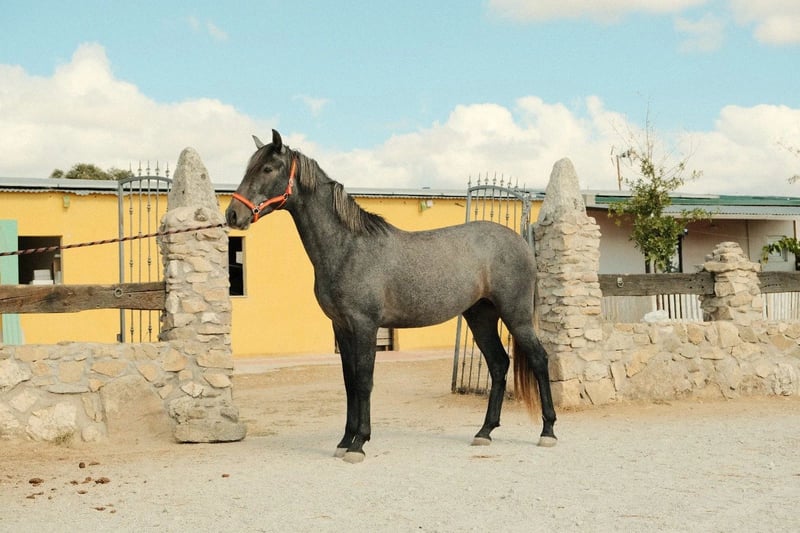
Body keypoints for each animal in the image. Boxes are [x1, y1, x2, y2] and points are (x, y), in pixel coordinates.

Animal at [225, 130, 557, 463]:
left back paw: (548, 432)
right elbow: (349, 383)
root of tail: (519, 242)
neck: (348, 247)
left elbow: (364, 381)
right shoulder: (341, 327)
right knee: (499, 364)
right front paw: (344, 440)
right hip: (480, 315)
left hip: (515, 315)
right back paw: (484, 432)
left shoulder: (364, 325)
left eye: (267, 169)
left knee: (539, 360)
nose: (233, 214)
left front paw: (359, 444)